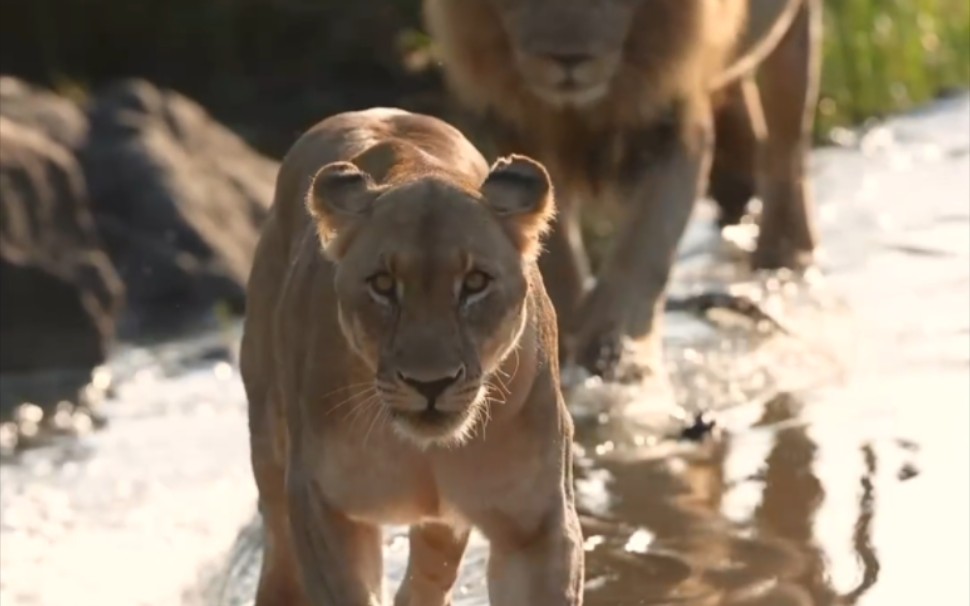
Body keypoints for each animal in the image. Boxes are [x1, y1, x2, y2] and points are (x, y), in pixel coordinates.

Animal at [242, 109, 584, 606]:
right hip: (269, 434)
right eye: (383, 285)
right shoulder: (324, 505)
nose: (430, 384)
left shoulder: (536, 526)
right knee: (279, 545)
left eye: (475, 283)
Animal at [422, 0, 816, 378]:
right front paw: (559, 341)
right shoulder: (522, 132)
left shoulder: (675, 124)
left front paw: (609, 350)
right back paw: (736, 185)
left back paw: (784, 250)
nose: (568, 59)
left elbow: (644, 246)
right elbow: (556, 257)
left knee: (787, 135)